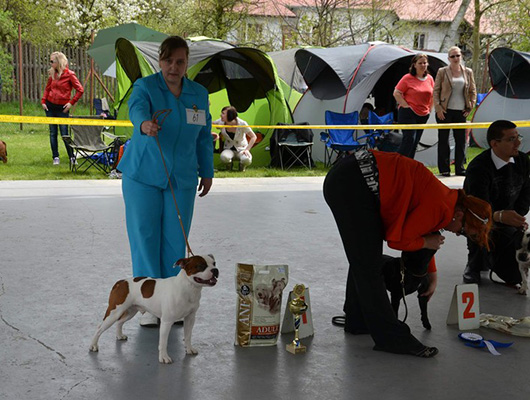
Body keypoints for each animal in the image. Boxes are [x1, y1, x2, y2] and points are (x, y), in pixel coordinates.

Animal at [89, 255, 218, 364]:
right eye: (201, 266)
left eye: (214, 263)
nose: (215, 270)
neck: (188, 288)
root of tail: (121, 282)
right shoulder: (166, 322)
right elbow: (163, 342)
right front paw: (164, 357)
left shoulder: (190, 318)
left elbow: (188, 335)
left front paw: (189, 349)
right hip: (114, 312)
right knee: (100, 328)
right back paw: (93, 345)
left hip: (130, 311)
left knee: (119, 322)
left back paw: (119, 336)